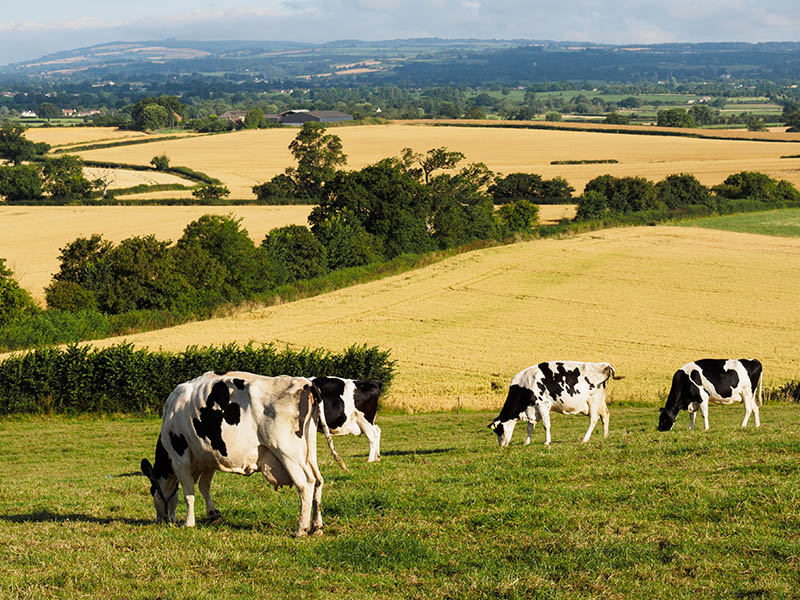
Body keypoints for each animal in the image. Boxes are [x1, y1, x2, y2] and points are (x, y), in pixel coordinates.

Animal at [140, 371, 348, 538]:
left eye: (152, 490)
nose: (160, 520)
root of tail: (305, 382)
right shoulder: (208, 458)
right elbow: (204, 488)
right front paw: (213, 514)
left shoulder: (180, 458)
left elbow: (189, 493)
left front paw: (188, 522)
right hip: (308, 452)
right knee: (318, 481)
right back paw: (317, 526)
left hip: (288, 453)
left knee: (306, 484)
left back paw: (301, 529)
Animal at [489, 361, 621, 446]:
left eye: (499, 430)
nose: (501, 445)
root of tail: (603, 364)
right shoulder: (532, 409)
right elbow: (530, 427)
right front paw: (526, 442)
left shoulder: (542, 404)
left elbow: (546, 425)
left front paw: (547, 442)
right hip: (600, 400)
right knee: (605, 415)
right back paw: (605, 436)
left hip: (593, 399)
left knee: (593, 419)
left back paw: (585, 439)